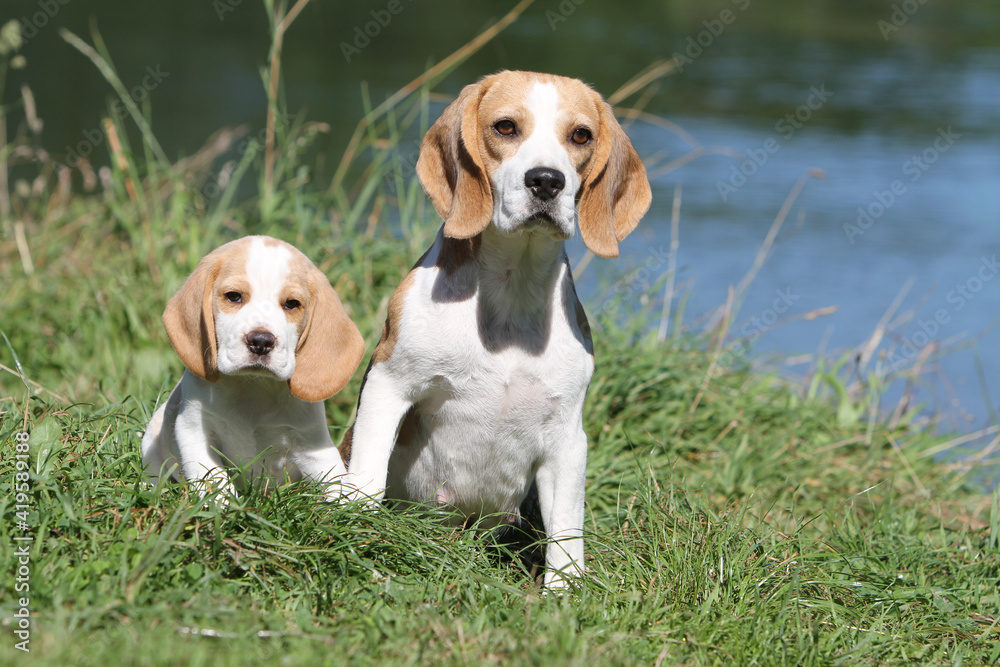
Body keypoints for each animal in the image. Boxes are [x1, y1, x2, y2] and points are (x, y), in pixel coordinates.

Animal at [143, 235, 366, 500]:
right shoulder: (194, 433)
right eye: (233, 296)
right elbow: (216, 484)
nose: (260, 341)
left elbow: (337, 487)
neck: (253, 387)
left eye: (292, 304)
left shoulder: (313, 446)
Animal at [340, 70, 652, 588]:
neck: (511, 291)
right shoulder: (388, 385)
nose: (547, 180)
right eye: (506, 127)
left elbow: (567, 535)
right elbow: (365, 479)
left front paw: (564, 593)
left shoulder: (567, 437)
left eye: (580, 135)